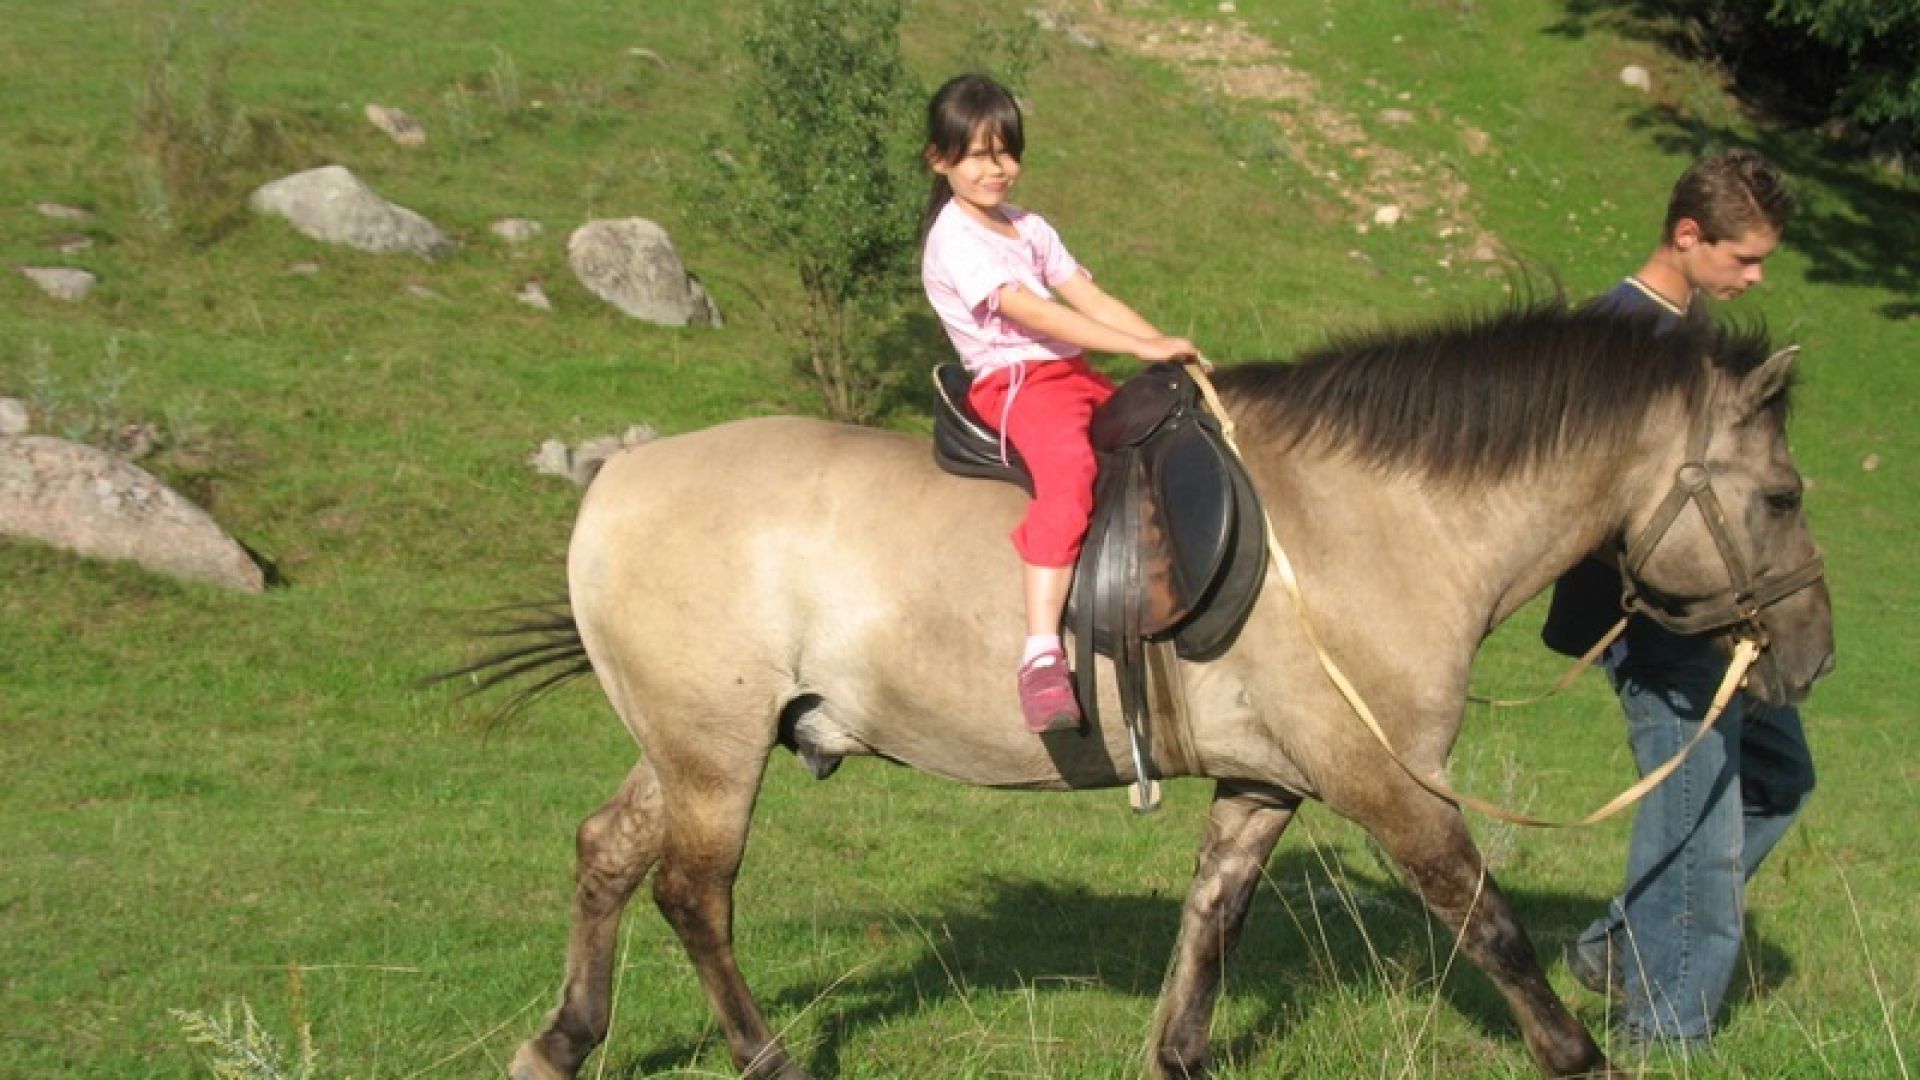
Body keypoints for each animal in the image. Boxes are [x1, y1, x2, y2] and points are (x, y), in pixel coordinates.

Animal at [476, 299, 1827, 1076]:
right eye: (1780, 496)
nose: (1809, 654)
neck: (1368, 523)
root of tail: (619, 482)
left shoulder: (1267, 782)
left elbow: (1211, 920)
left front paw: (1175, 1053)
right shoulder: (1387, 782)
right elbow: (1488, 921)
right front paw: (1579, 1055)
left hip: (693, 740)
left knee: (608, 853)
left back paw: (563, 1041)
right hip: (716, 751)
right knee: (694, 895)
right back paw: (764, 1056)